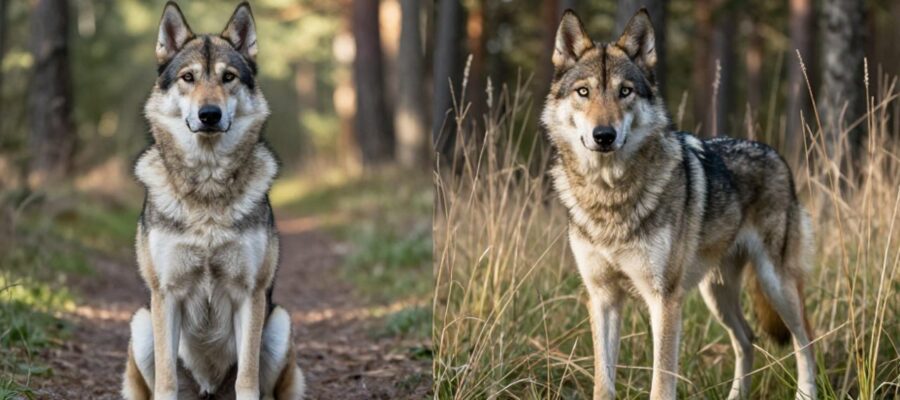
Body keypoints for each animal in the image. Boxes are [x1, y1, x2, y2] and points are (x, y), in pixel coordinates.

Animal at [121, 3, 305, 399]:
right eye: (188, 78)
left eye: (228, 77)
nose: (209, 114)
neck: (206, 185)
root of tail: (207, 392)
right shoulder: (166, 294)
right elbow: (167, 382)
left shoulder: (250, 294)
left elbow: (247, 381)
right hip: (142, 325)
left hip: (279, 324)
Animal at [542, 9, 816, 400]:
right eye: (584, 92)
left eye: (625, 91)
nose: (604, 135)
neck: (610, 198)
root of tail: (774, 153)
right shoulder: (603, 297)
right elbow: (602, 384)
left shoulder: (665, 300)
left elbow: (661, 383)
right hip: (716, 294)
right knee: (747, 339)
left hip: (775, 284)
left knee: (804, 338)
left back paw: (806, 390)